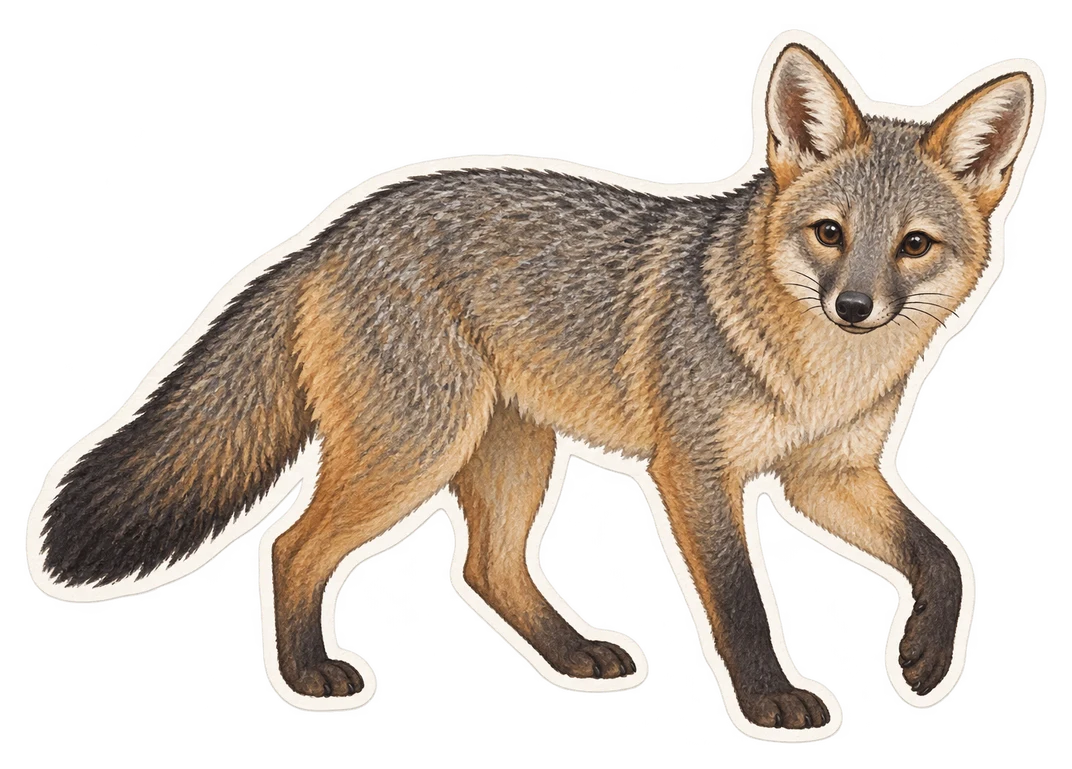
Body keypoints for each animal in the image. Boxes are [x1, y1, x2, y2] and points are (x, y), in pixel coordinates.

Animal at [25, 37, 1042, 734]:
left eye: (914, 245)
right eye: (830, 233)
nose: (855, 305)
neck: (815, 378)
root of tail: (327, 233)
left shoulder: (824, 476)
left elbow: (941, 559)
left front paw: (922, 659)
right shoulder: (696, 474)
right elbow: (743, 600)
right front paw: (770, 701)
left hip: (514, 453)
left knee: (483, 568)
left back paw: (575, 655)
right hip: (415, 452)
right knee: (290, 544)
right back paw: (311, 676)